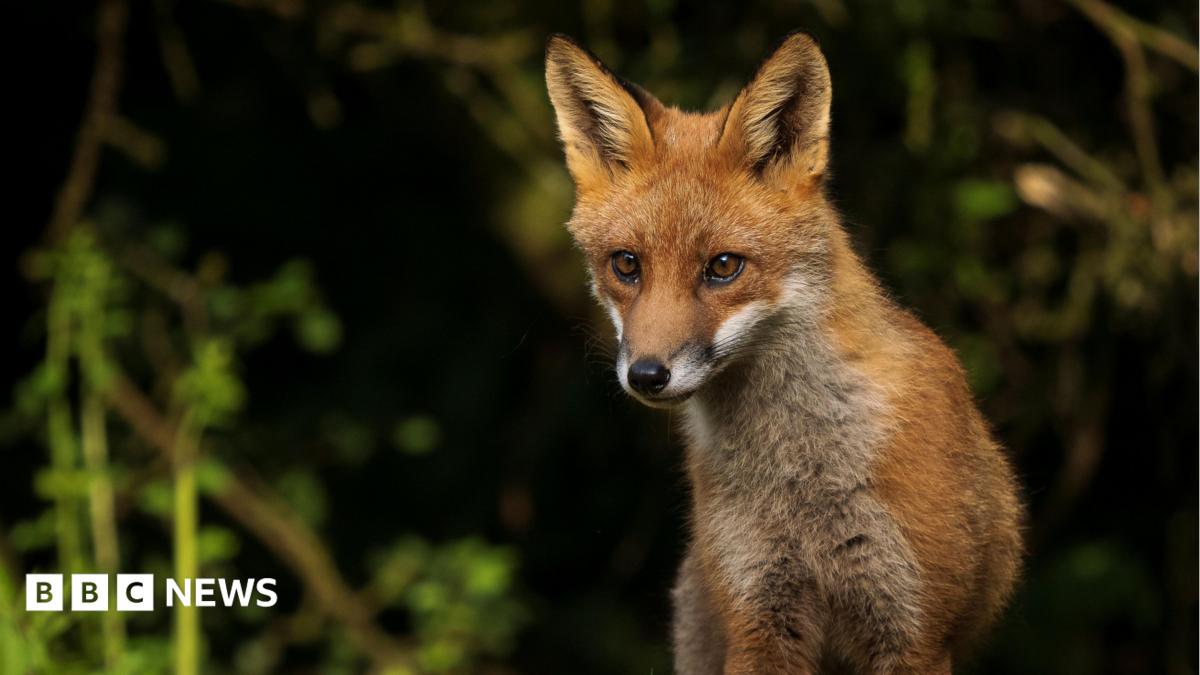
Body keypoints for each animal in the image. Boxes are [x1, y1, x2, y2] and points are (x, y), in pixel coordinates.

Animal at [545, 31, 1023, 675]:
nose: (647, 375)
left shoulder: (914, 630)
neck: (800, 477)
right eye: (626, 265)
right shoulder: (760, 616)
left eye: (723, 267)